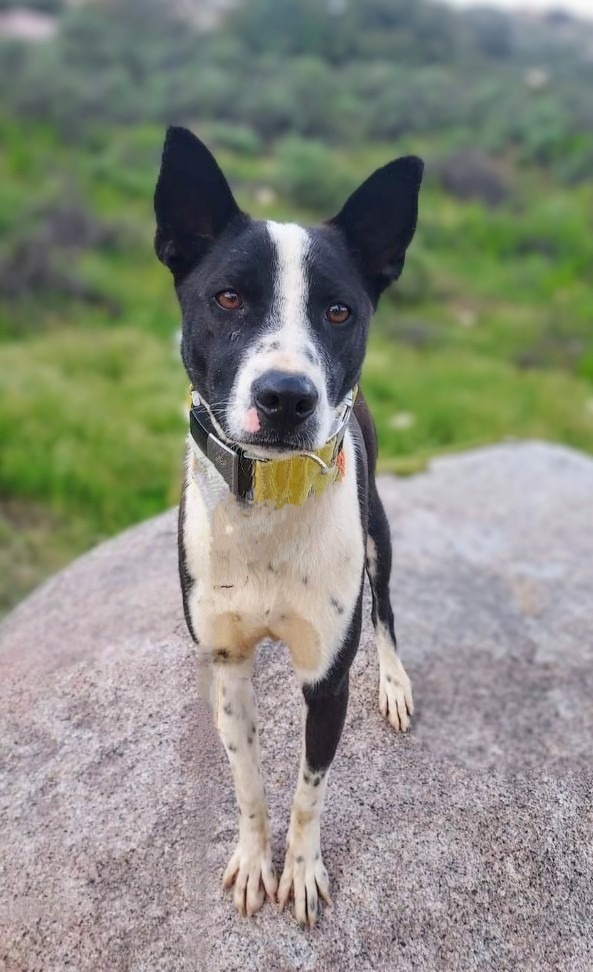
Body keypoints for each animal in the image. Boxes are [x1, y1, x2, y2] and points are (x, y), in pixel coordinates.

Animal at [153, 129, 420, 928]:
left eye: (338, 312)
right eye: (228, 298)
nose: (286, 397)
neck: (266, 506)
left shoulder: (325, 682)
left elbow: (308, 792)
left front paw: (298, 873)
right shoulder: (229, 662)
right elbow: (249, 784)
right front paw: (252, 864)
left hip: (379, 536)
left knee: (386, 611)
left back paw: (394, 681)